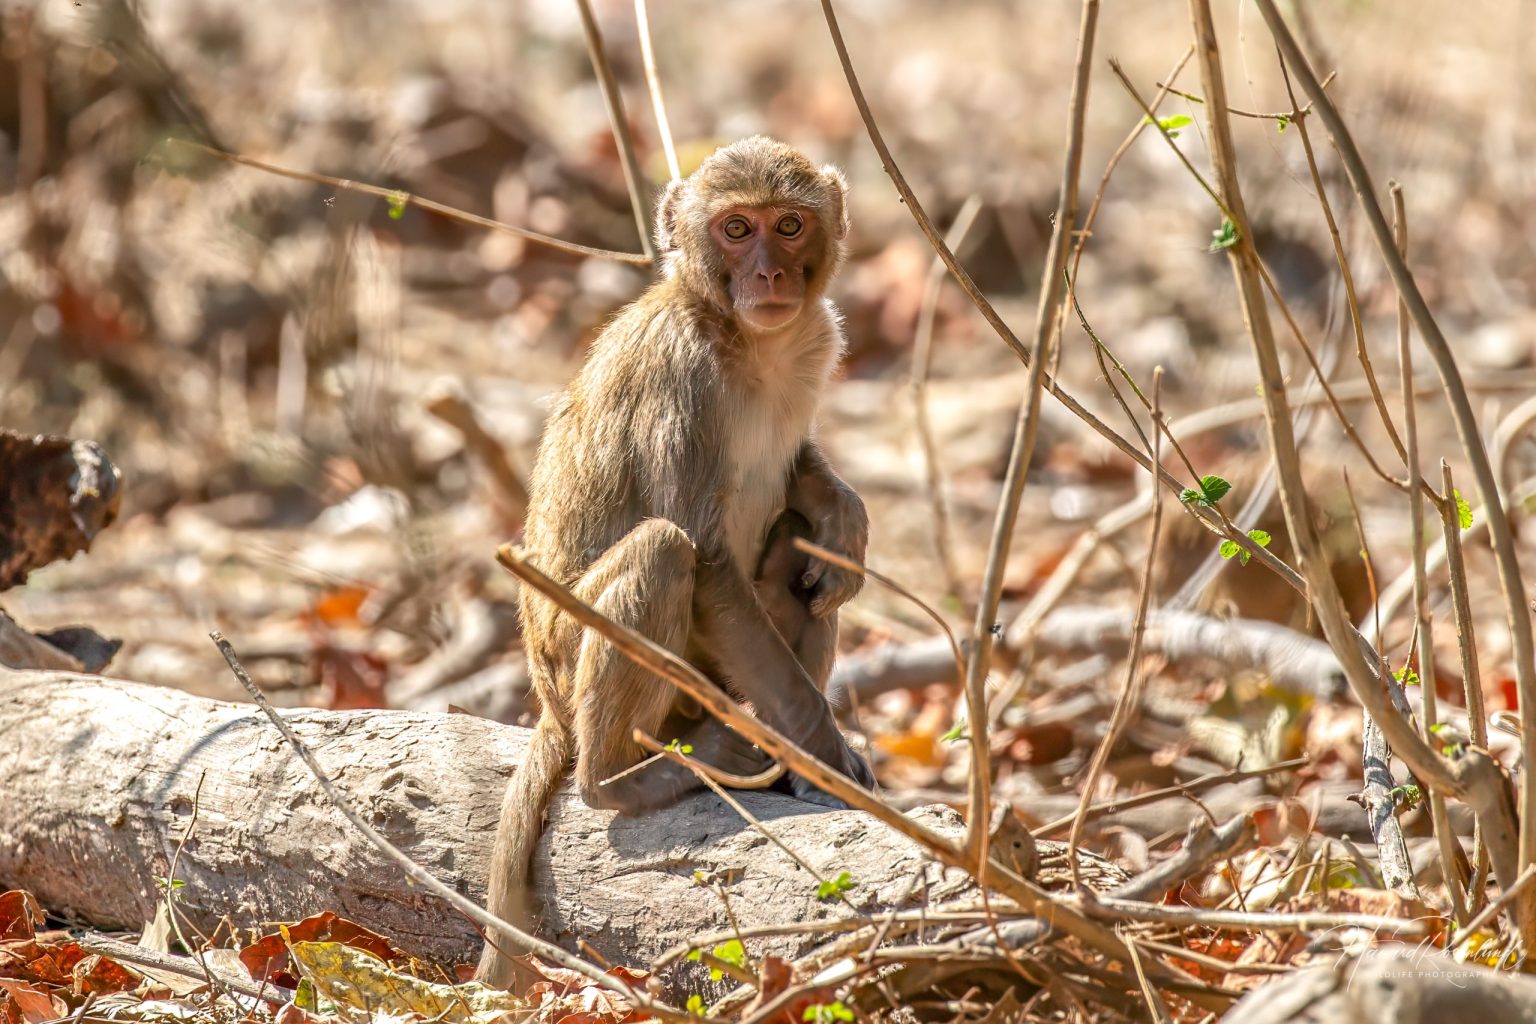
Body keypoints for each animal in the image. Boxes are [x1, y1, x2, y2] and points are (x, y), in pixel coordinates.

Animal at [478, 138, 876, 986]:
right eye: (736, 228)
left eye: (789, 225)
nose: (768, 275)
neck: (746, 341)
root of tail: (546, 697)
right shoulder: (680, 376)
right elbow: (708, 557)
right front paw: (822, 753)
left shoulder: (819, 337)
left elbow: (806, 511)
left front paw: (840, 509)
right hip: (571, 655)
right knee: (664, 552)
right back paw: (620, 781)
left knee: (797, 559)